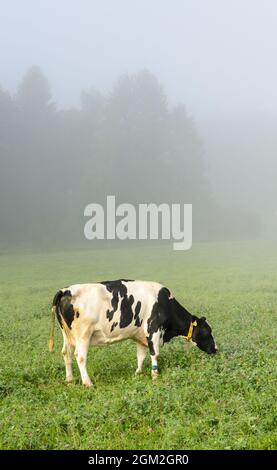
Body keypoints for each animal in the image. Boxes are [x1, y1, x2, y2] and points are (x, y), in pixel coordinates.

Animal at [48, 280, 217, 386]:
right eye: (207, 331)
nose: (215, 349)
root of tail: (65, 290)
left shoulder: (140, 336)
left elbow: (140, 356)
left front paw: (138, 373)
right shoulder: (153, 329)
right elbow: (154, 354)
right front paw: (155, 376)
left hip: (67, 335)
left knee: (66, 354)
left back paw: (69, 380)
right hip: (83, 334)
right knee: (80, 356)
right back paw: (87, 383)